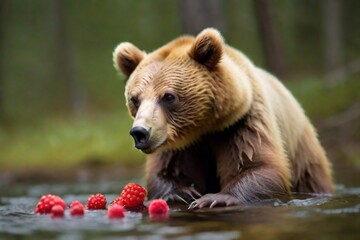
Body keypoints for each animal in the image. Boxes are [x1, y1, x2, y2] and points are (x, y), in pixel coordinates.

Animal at [113, 28, 334, 208]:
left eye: (168, 96)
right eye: (135, 99)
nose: (140, 132)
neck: (204, 128)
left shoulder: (242, 122)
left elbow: (261, 165)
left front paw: (214, 198)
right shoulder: (178, 144)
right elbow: (164, 172)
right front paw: (180, 193)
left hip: (301, 150)